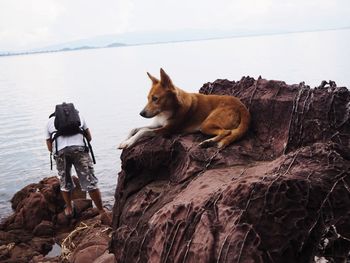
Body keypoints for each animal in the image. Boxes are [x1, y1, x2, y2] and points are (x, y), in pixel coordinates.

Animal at [119, 69, 250, 150]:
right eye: (148, 98)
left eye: (155, 99)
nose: (141, 113)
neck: (166, 110)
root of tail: (241, 105)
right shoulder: (157, 124)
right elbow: (135, 129)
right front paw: (124, 141)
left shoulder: (167, 129)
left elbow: (143, 131)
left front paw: (129, 143)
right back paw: (209, 142)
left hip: (206, 124)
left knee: (226, 132)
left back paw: (209, 142)